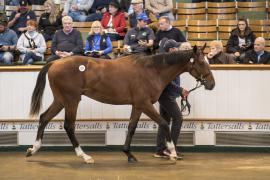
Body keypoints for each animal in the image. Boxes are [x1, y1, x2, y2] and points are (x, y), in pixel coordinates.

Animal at [25, 45, 215, 164]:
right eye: (201, 62)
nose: (212, 84)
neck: (151, 70)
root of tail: (55, 62)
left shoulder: (137, 106)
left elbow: (131, 127)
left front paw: (128, 154)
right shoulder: (145, 104)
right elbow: (163, 123)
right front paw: (173, 153)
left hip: (60, 100)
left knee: (44, 118)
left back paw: (33, 149)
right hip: (71, 100)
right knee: (68, 126)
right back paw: (84, 156)